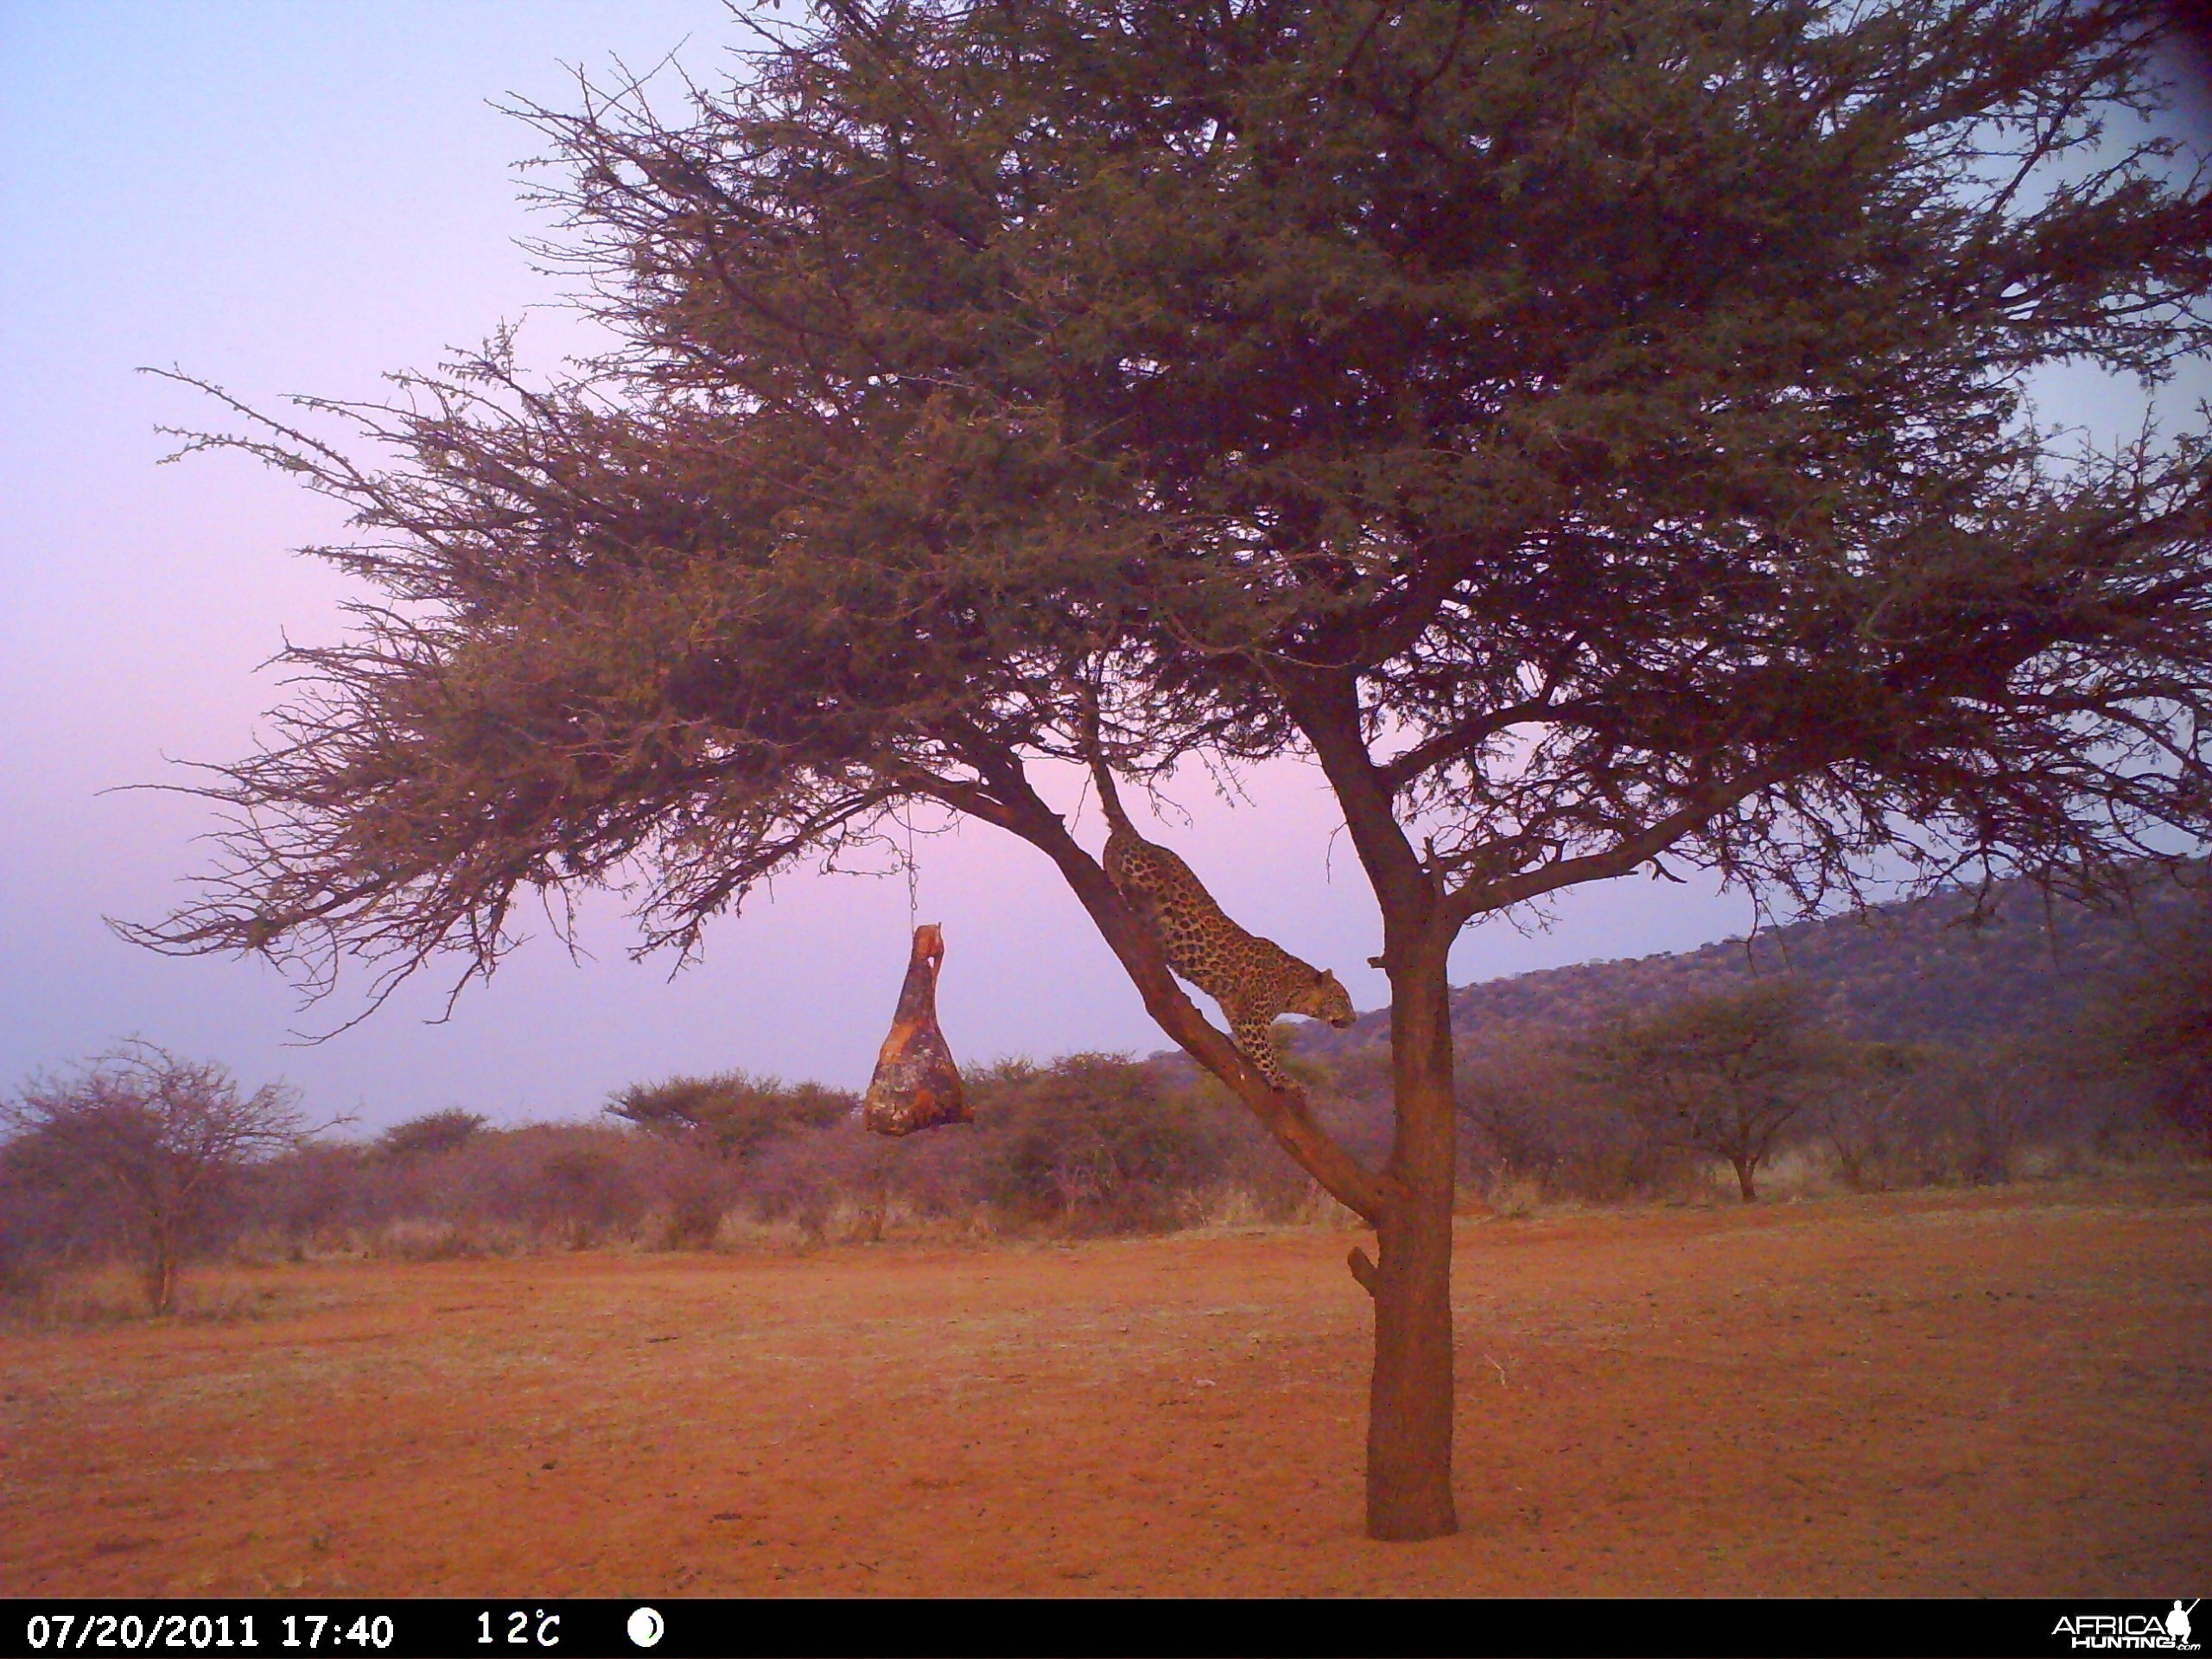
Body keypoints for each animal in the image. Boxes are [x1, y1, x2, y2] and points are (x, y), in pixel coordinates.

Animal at [1084, 752, 1353, 1092]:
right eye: (1341, 999)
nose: (1354, 1019)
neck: (1293, 989)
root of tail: (1139, 836)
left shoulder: (1234, 1010)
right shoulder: (1253, 1017)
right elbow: (1265, 1053)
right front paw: (1283, 1080)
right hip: (1145, 872)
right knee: (1116, 861)